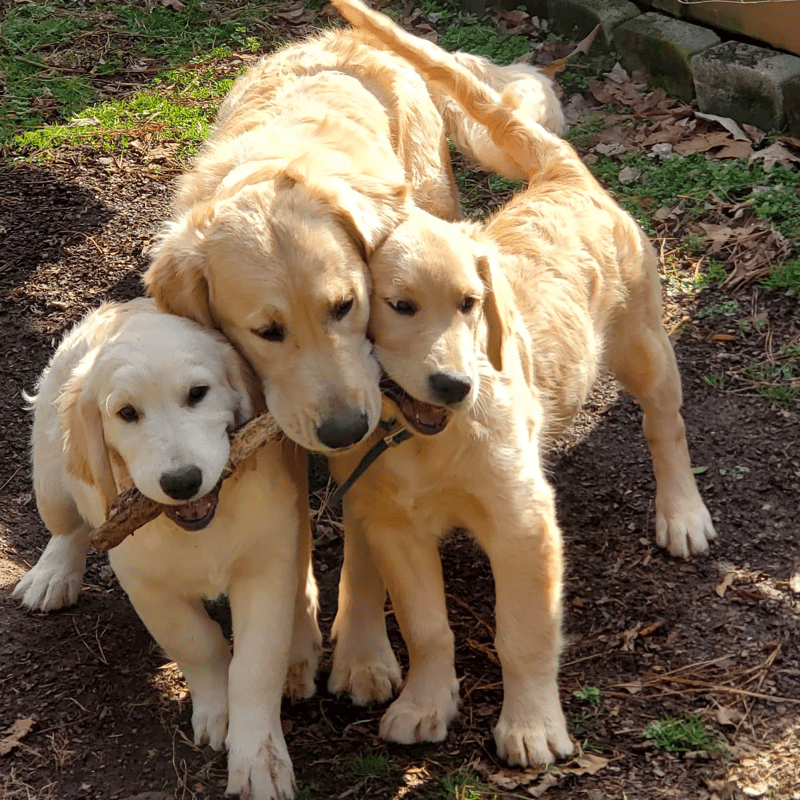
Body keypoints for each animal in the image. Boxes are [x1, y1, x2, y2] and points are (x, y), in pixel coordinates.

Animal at [12, 300, 318, 800]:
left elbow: (254, 668)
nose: (181, 482)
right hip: (50, 481)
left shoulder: (265, 568)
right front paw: (217, 710)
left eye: (198, 393)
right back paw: (51, 575)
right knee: (68, 526)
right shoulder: (148, 587)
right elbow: (197, 644)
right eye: (126, 413)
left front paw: (258, 760)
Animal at [324, 0, 720, 768]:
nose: (455, 386)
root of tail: (562, 172)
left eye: (470, 304)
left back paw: (683, 514)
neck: (424, 441)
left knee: (667, 424)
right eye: (398, 306)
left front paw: (532, 725)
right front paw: (426, 702)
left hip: (643, 342)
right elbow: (425, 626)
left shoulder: (522, 520)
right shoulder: (394, 524)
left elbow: (525, 634)